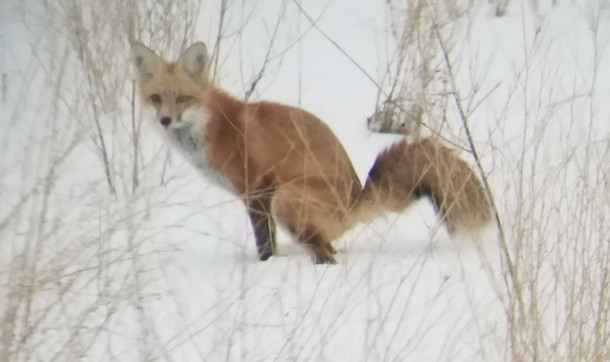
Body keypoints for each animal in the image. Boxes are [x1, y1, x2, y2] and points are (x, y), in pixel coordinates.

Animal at [129, 41, 490, 264]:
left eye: (183, 98)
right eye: (157, 98)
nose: (165, 121)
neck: (214, 127)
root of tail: (355, 199)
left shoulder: (258, 190)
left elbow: (265, 244)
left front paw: (265, 267)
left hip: (286, 199)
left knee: (328, 255)